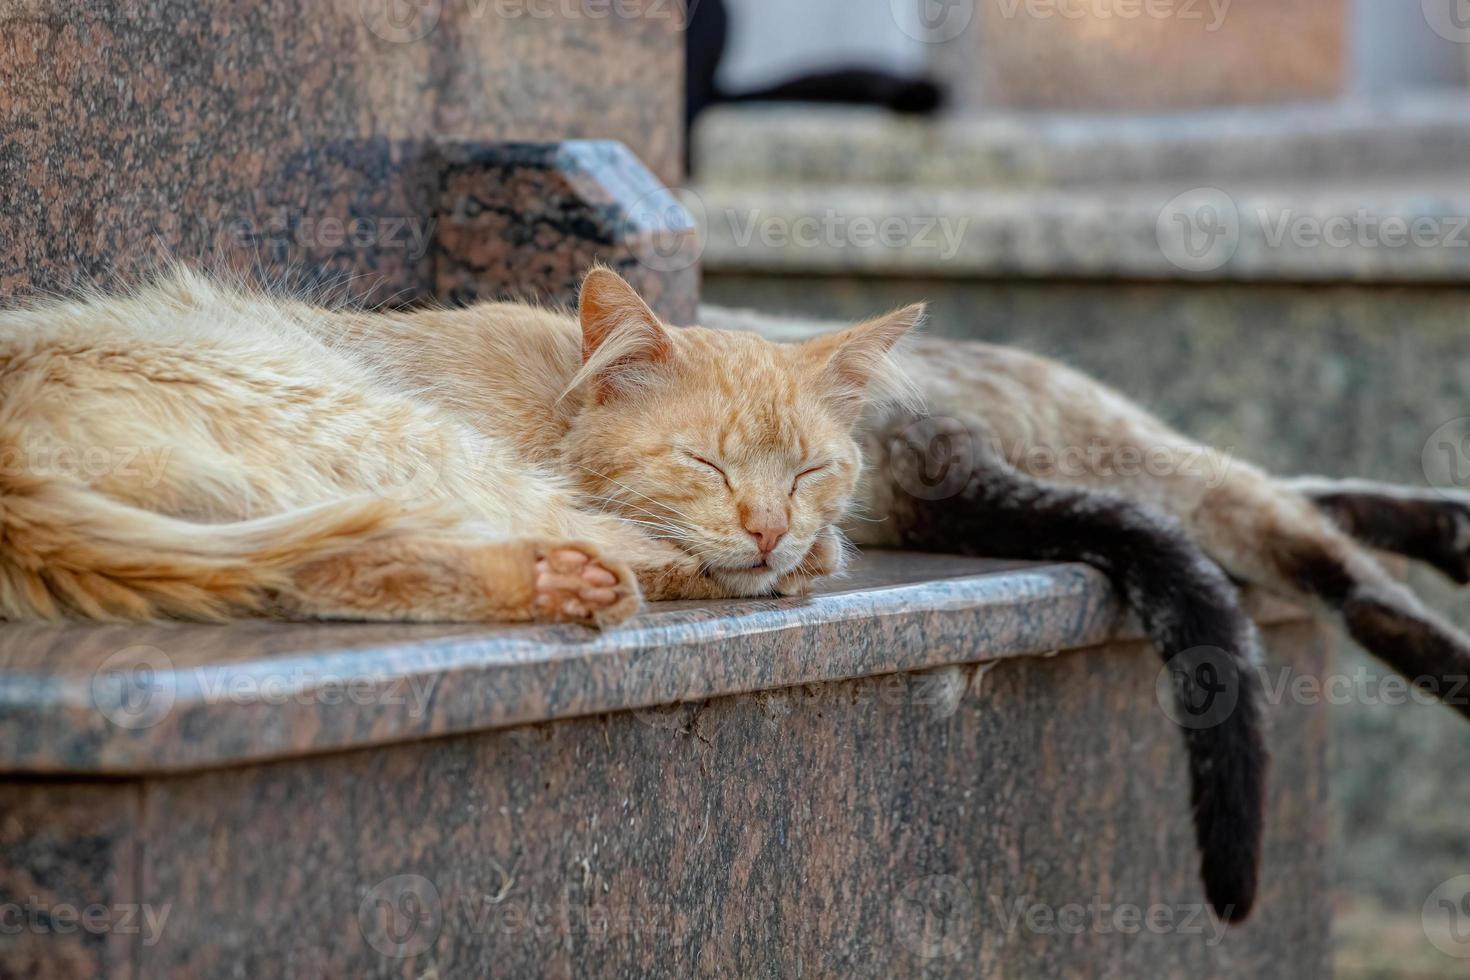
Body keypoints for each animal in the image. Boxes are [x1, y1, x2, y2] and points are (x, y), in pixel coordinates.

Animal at [0, 264, 917, 625]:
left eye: (810, 470)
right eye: (704, 463)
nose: (769, 528)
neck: (559, 395)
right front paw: (807, 554)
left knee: (322, 571)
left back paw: (549, 583)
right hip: (397, 427)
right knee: (626, 549)